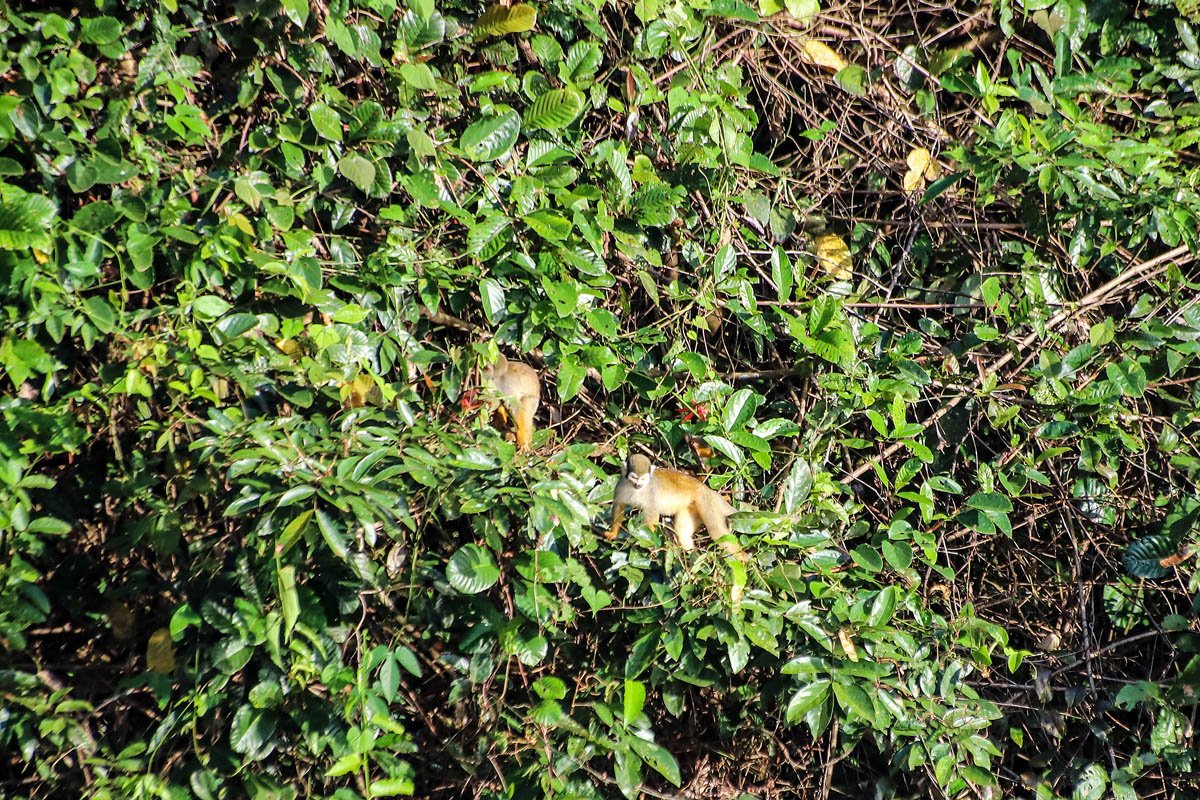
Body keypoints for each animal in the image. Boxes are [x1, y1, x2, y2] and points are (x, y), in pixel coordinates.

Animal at [609, 453, 739, 561]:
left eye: (643, 479)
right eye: (634, 478)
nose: (638, 484)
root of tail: (708, 490)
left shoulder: (651, 493)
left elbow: (652, 514)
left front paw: (648, 539)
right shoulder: (620, 484)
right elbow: (618, 506)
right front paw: (613, 533)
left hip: (707, 501)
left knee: (717, 531)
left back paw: (742, 558)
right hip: (692, 508)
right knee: (682, 533)